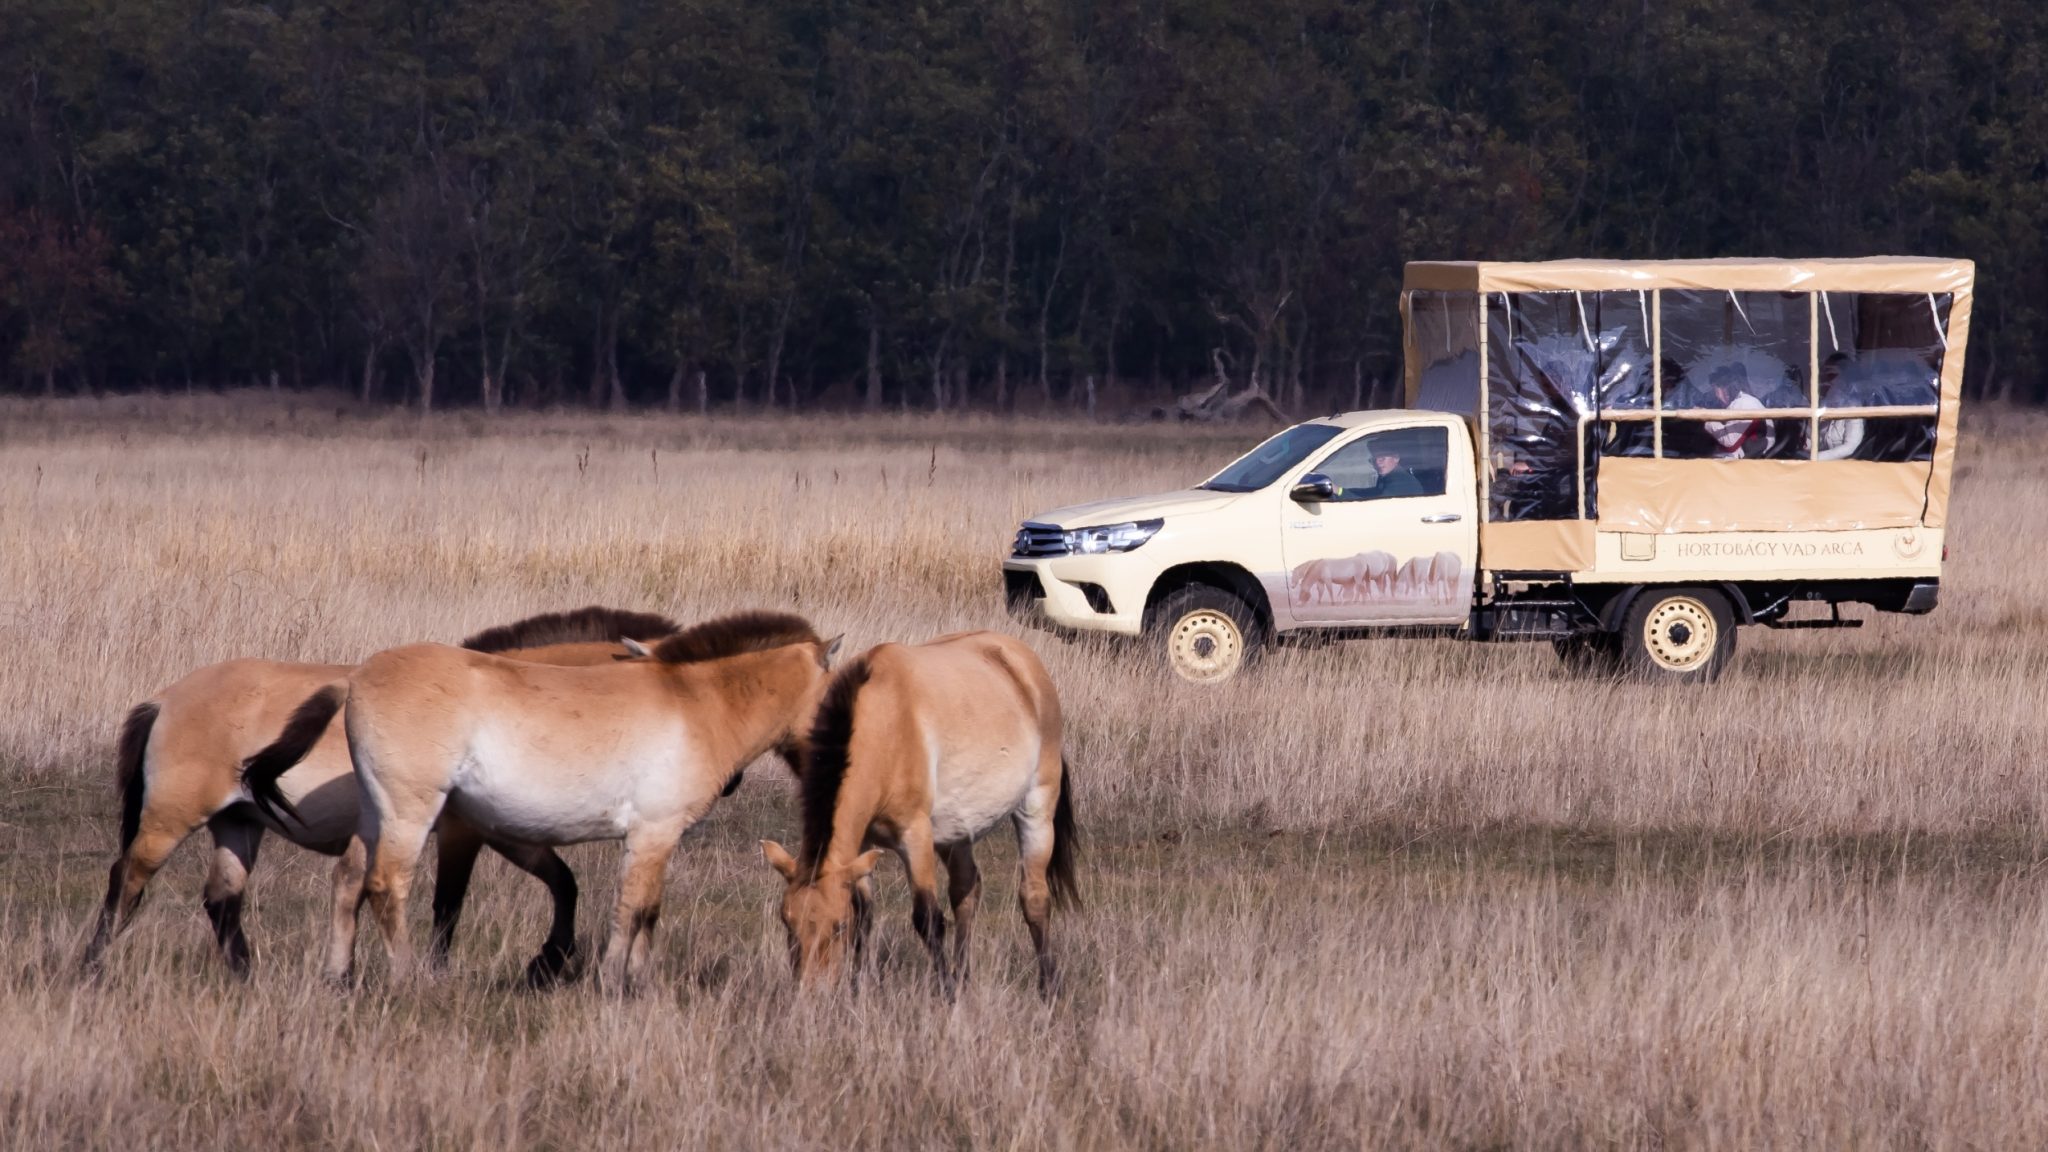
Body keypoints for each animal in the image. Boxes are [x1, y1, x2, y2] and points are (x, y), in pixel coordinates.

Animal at [81, 602, 679, 975]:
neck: (499, 694)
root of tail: (165, 699)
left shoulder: (506, 832)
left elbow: (564, 884)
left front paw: (546, 964)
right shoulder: (467, 831)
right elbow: (449, 902)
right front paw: (443, 969)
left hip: (239, 823)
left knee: (222, 899)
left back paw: (246, 976)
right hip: (171, 817)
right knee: (127, 878)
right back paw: (93, 968)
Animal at [243, 610, 835, 988]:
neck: (696, 703)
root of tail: (357, 678)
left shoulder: (654, 841)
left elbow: (647, 911)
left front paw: (640, 982)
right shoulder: (652, 834)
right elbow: (632, 909)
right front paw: (612, 981)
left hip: (377, 814)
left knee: (348, 880)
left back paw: (337, 975)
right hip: (410, 815)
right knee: (387, 887)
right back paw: (409, 978)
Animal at [761, 627, 1081, 996]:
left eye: (838, 926)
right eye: (787, 922)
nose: (811, 992)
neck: (885, 726)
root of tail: (1023, 660)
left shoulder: (915, 836)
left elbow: (927, 917)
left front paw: (946, 991)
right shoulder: (860, 845)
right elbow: (865, 912)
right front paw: (859, 987)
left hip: (1036, 810)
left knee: (1035, 898)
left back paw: (1049, 986)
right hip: (957, 830)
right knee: (966, 889)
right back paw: (965, 976)